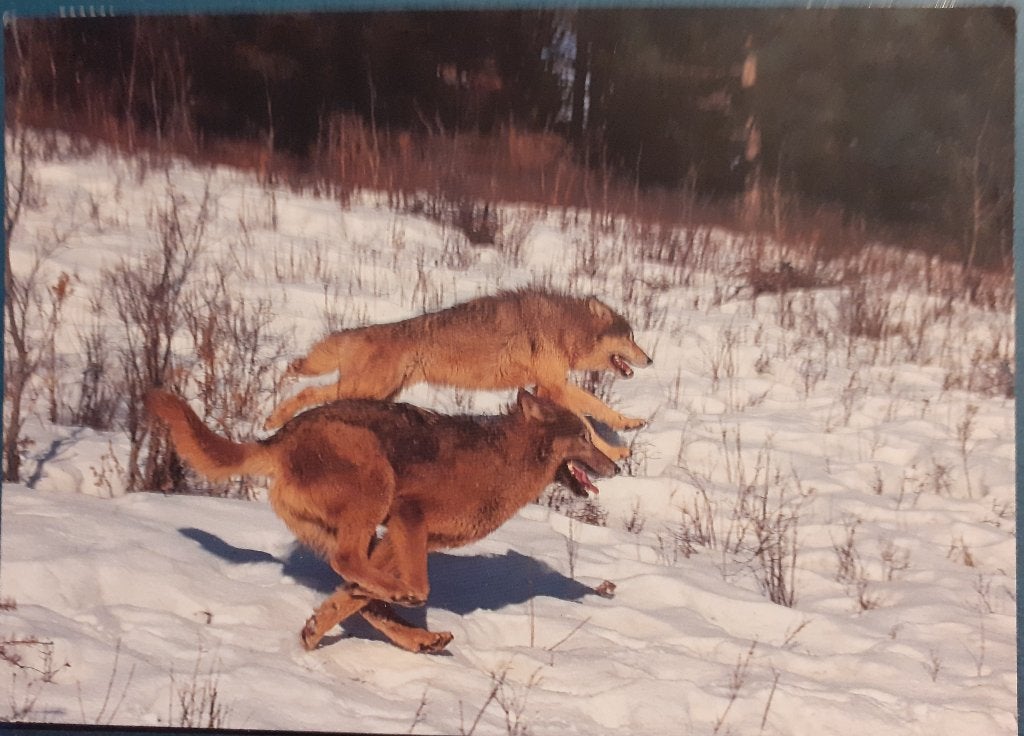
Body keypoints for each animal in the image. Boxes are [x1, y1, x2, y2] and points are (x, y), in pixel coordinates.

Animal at [145, 388, 617, 653]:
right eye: (584, 436)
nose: (615, 468)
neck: (505, 462)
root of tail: (278, 440)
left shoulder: (403, 537)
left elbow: (356, 597)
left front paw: (324, 620)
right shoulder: (408, 514)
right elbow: (411, 587)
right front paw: (394, 596)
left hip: (362, 522)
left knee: (353, 575)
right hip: (375, 479)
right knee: (350, 564)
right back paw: (398, 607)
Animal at [263, 289, 653, 461]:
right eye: (631, 337)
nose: (650, 359)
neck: (567, 328)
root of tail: (362, 332)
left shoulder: (546, 387)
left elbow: (589, 413)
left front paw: (623, 433)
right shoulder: (555, 385)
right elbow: (590, 414)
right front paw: (622, 438)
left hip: (375, 393)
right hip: (365, 389)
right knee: (307, 394)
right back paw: (275, 420)